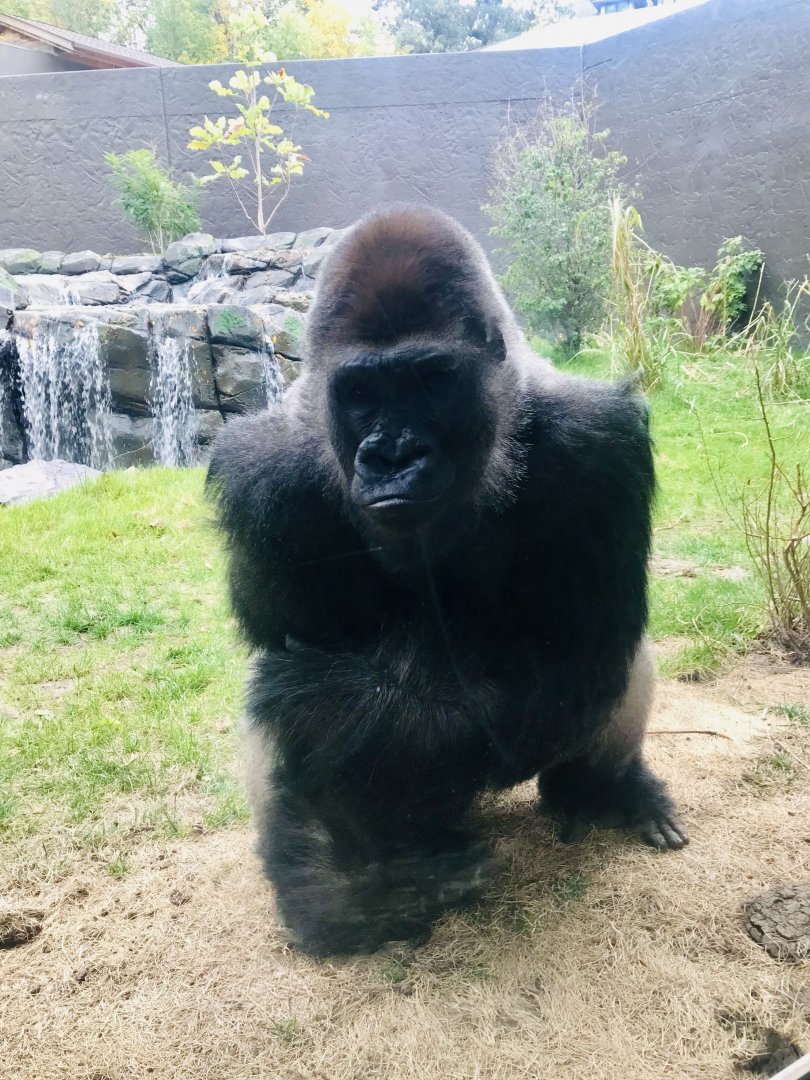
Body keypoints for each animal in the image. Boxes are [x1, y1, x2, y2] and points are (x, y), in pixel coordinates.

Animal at [207, 205, 688, 955]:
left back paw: (604, 788)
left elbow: (579, 656)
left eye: (431, 381)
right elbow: (298, 683)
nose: (394, 457)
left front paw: (339, 710)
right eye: (362, 393)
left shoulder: (599, 445)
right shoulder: (262, 477)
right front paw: (355, 883)